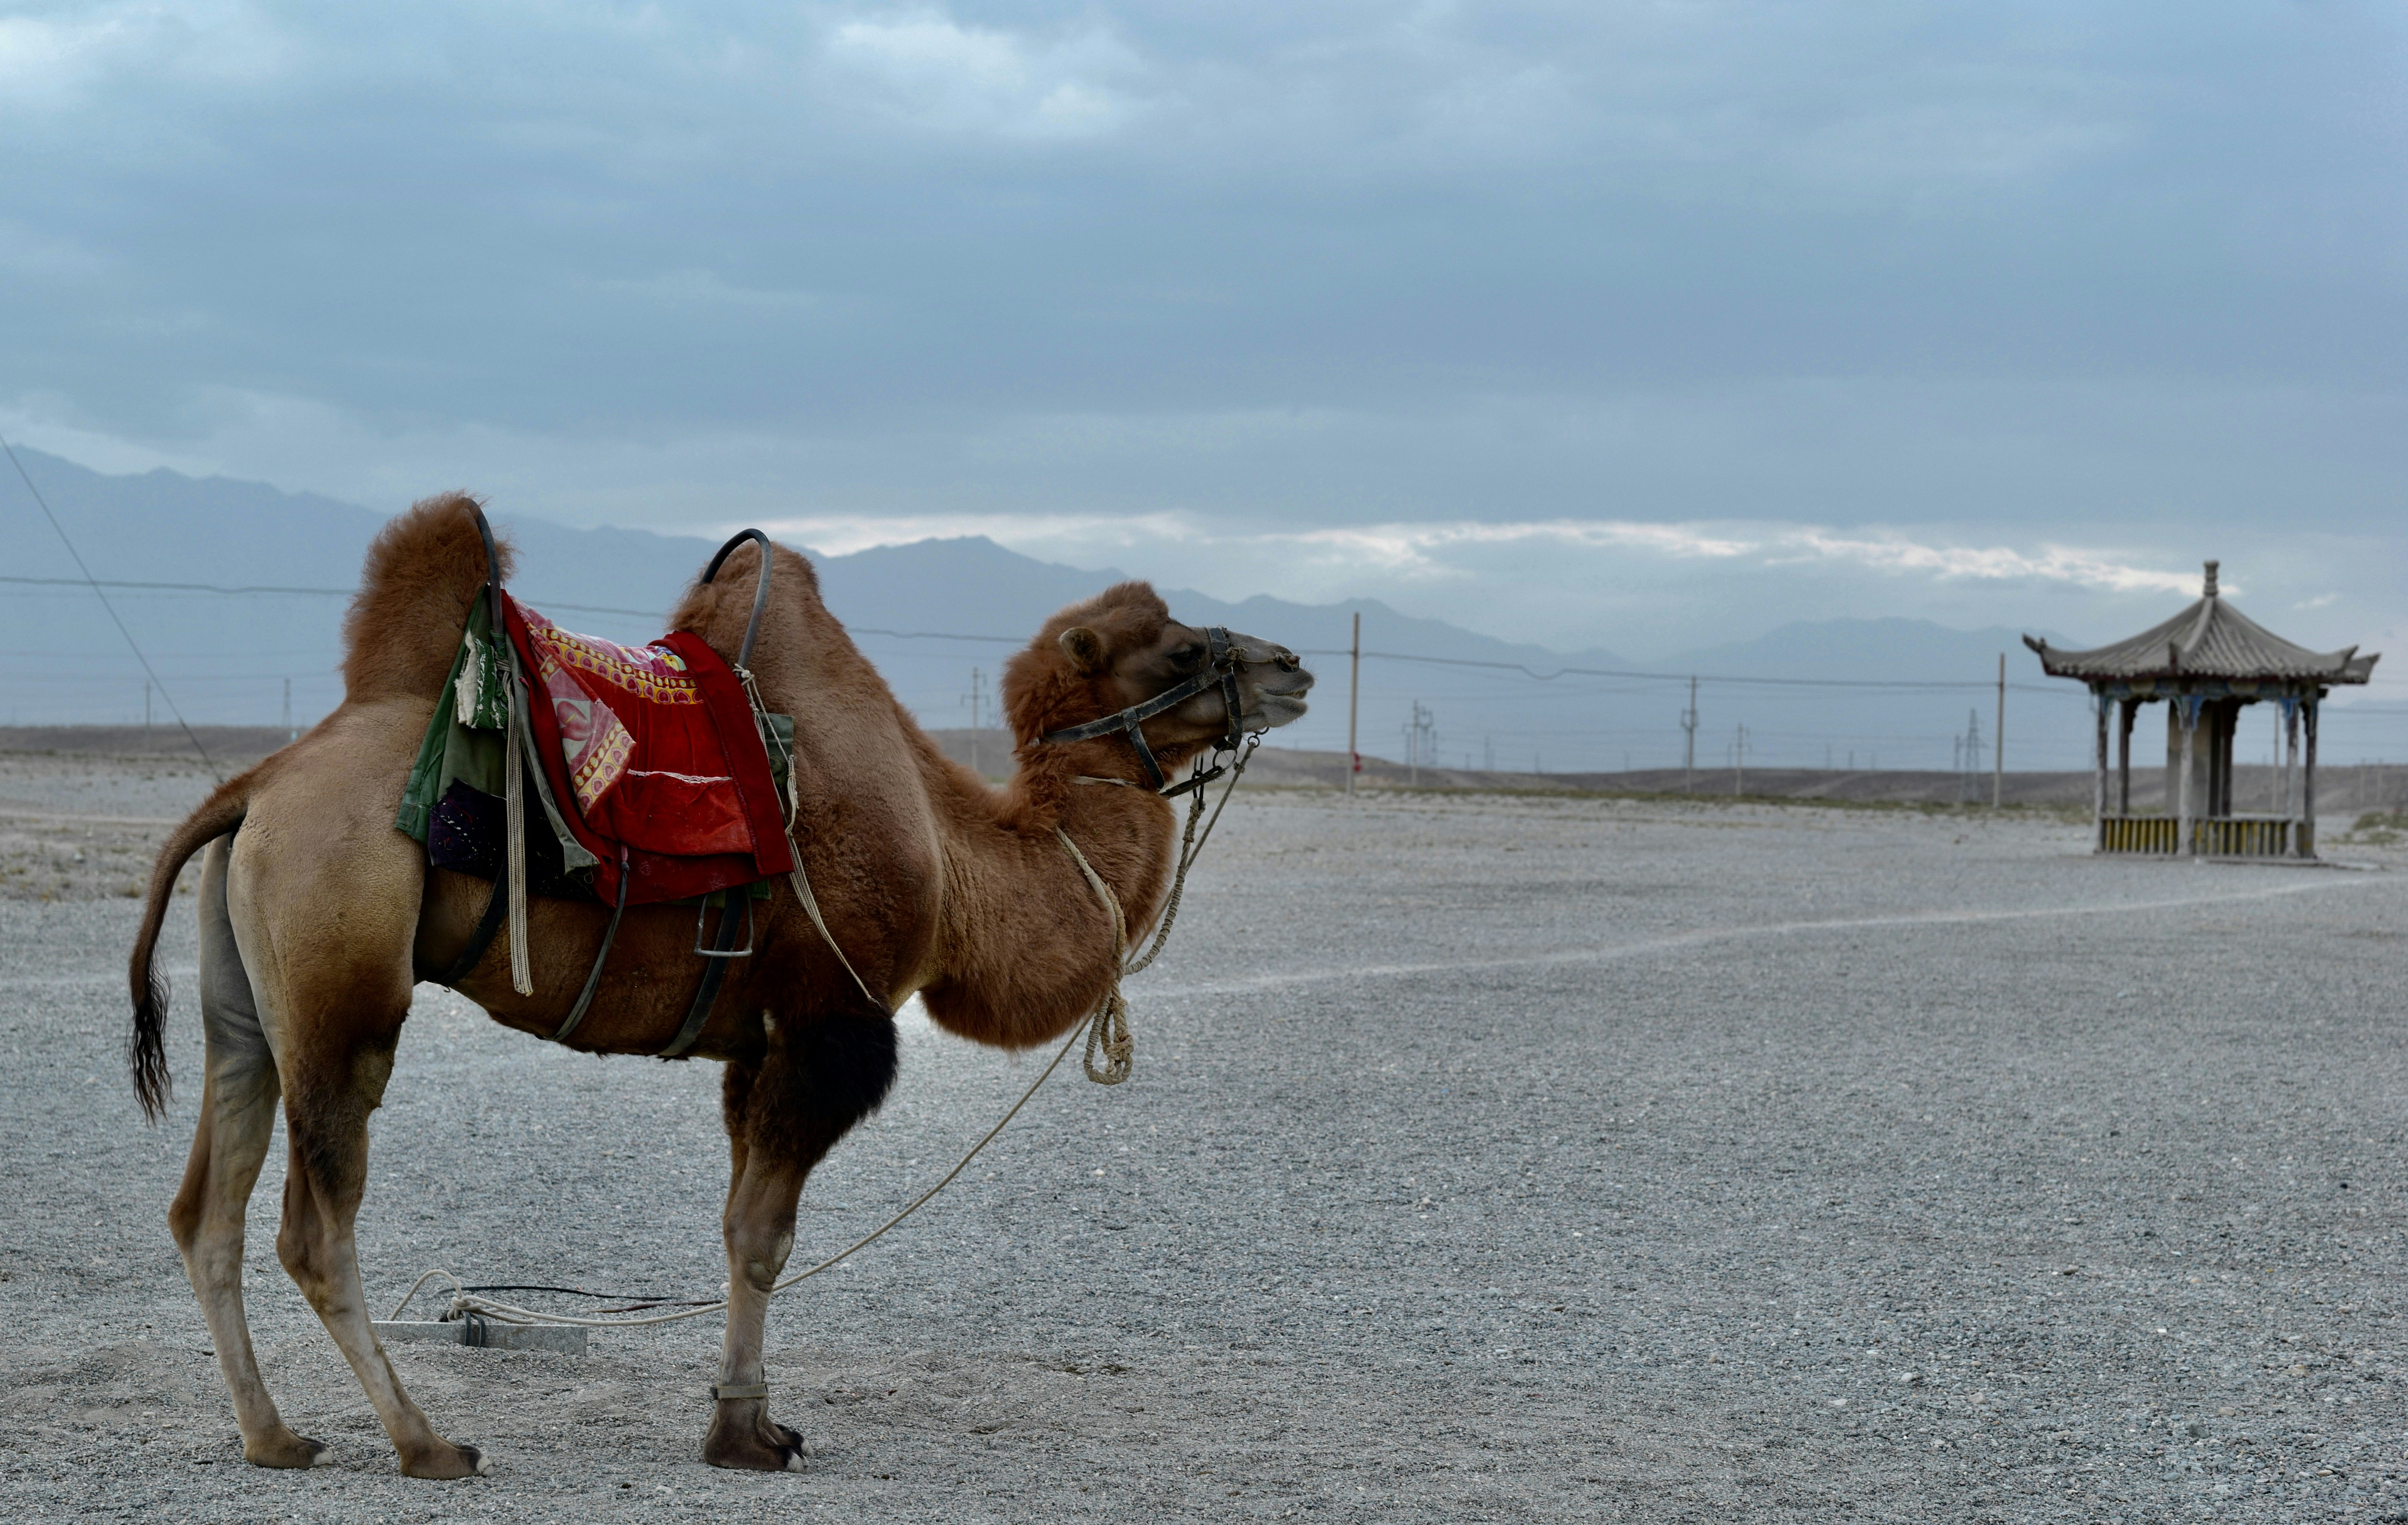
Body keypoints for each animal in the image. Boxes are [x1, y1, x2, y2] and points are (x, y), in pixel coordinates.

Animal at [124, 494, 1312, 1478]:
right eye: (1181, 647)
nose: (1294, 664)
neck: (952, 854)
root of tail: (254, 789)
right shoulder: (833, 1022)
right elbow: (765, 1236)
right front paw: (745, 1432)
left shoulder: (758, 1036)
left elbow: (739, 1223)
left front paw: (753, 1420)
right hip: (345, 989)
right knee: (313, 1226)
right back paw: (429, 1444)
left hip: (251, 1000)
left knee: (205, 1209)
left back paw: (277, 1436)